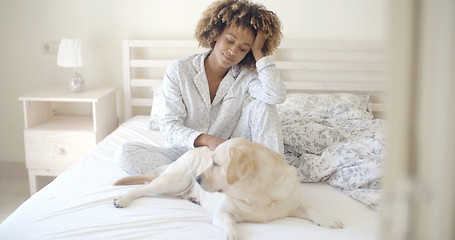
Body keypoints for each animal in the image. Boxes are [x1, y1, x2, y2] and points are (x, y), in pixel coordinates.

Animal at [114, 138, 342, 239]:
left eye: (216, 164)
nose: (198, 178)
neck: (258, 193)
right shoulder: (223, 212)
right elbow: (230, 224)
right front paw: (231, 235)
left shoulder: (293, 204)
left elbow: (312, 209)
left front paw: (329, 220)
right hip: (173, 180)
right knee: (142, 187)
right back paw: (123, 198)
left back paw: (193, 197)